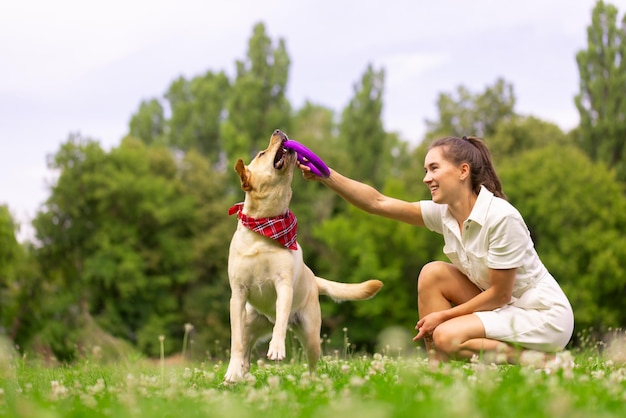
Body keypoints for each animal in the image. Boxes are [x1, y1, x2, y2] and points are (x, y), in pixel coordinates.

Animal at [224, 130, 380, 382]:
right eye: (262, 154)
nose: (278, 131)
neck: (264, 226)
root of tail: (314, 279)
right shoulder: (238, 294)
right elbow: (235, 341)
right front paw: (232, 370)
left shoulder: (284, 285)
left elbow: (280, 321)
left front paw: (277, 348)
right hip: (250, 322)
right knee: (245, 348)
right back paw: (239, 372)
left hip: (311, 332)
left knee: (312, 360)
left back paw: (311, 382)